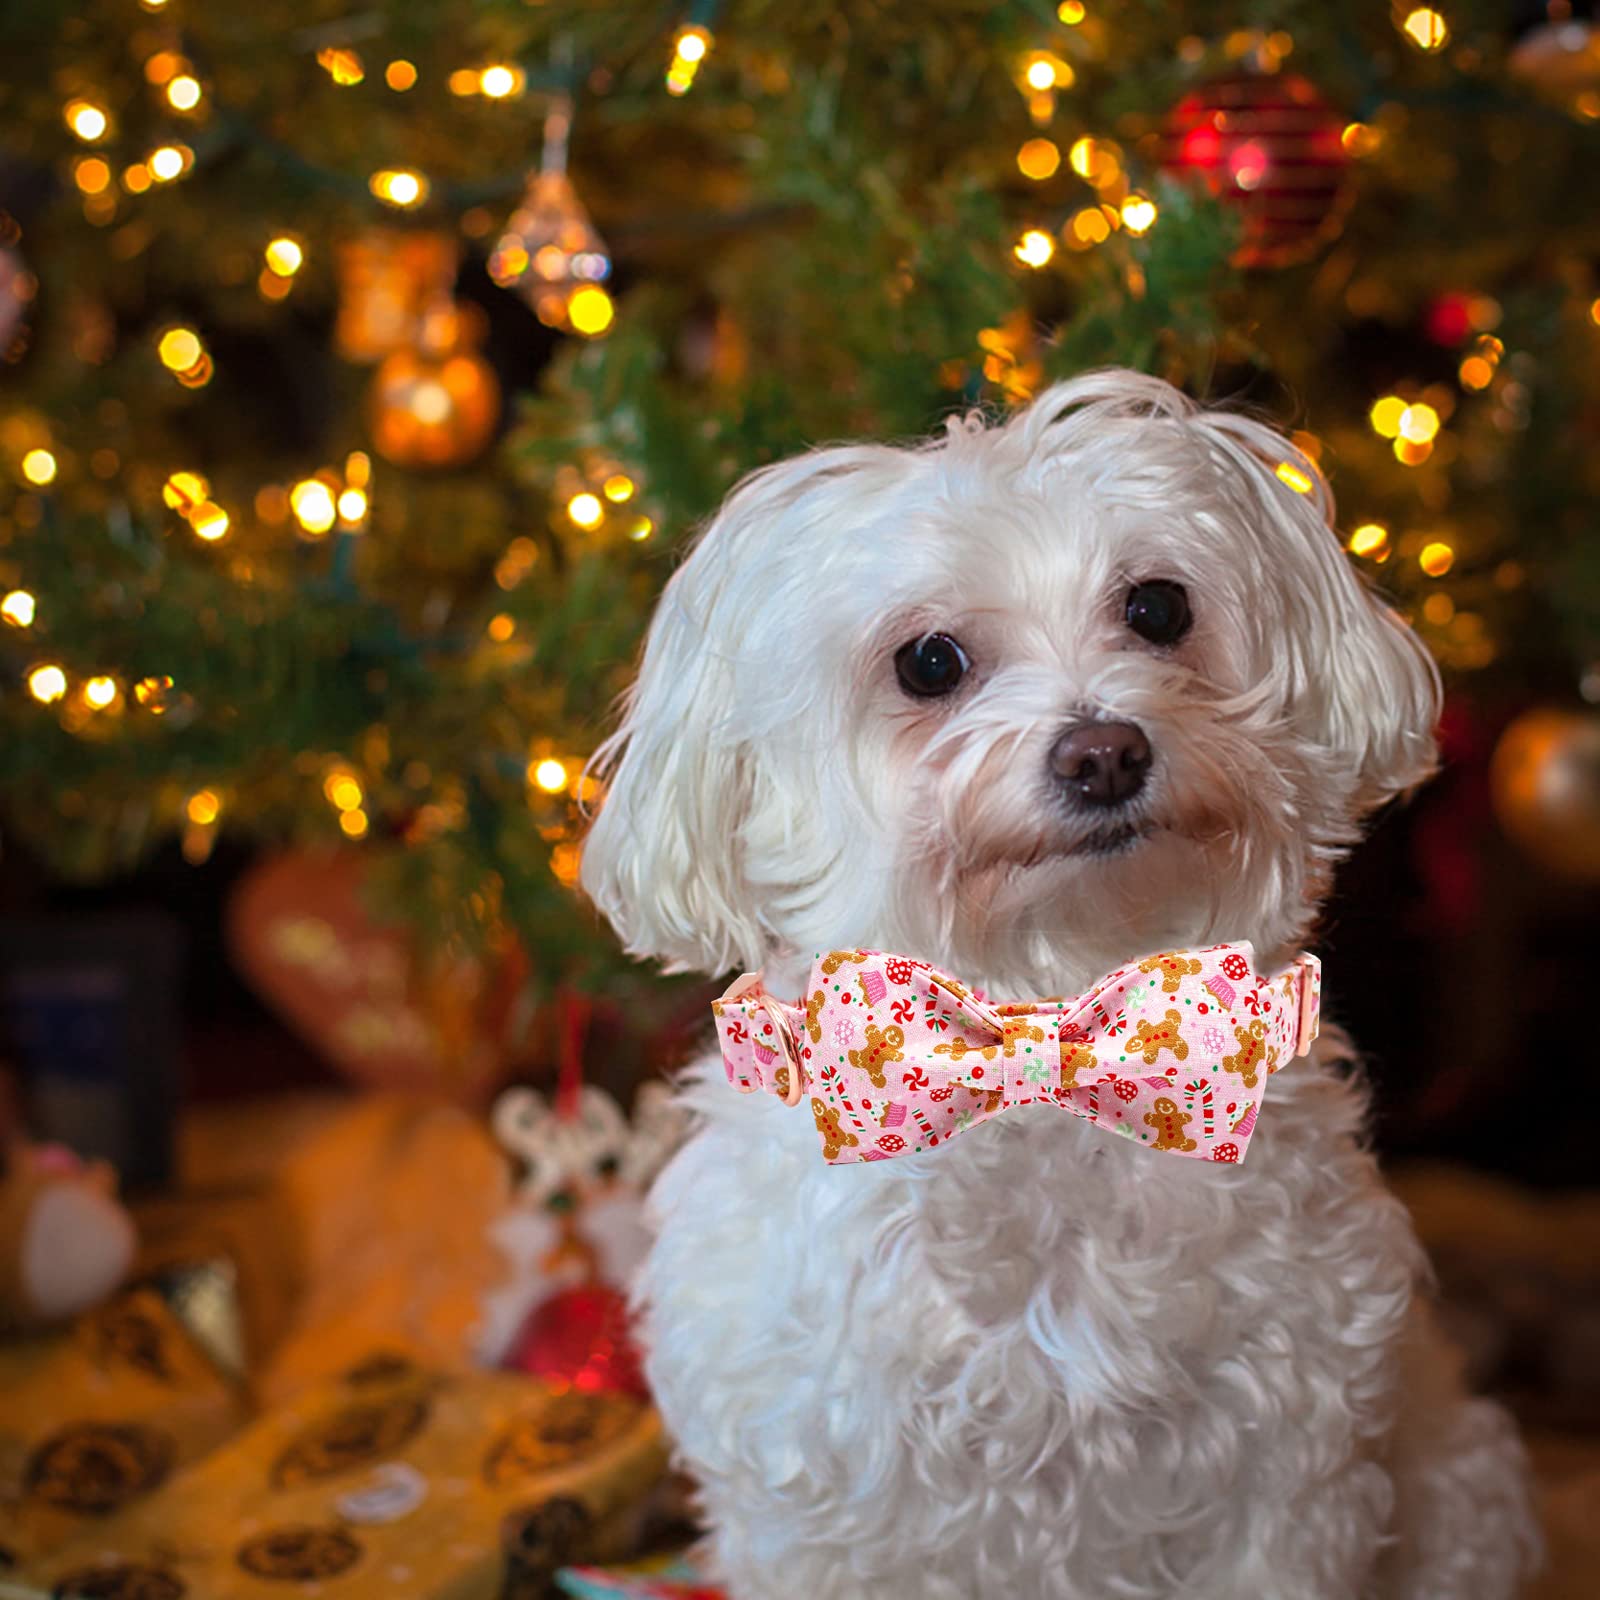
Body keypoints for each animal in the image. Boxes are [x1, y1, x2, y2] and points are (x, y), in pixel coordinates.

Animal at [576, 371, 1536, 1600]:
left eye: (1159, 608)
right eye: (929, 663)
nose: (1105, 753)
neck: (1041, 1030)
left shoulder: (1279, 1484)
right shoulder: (834, 1501)